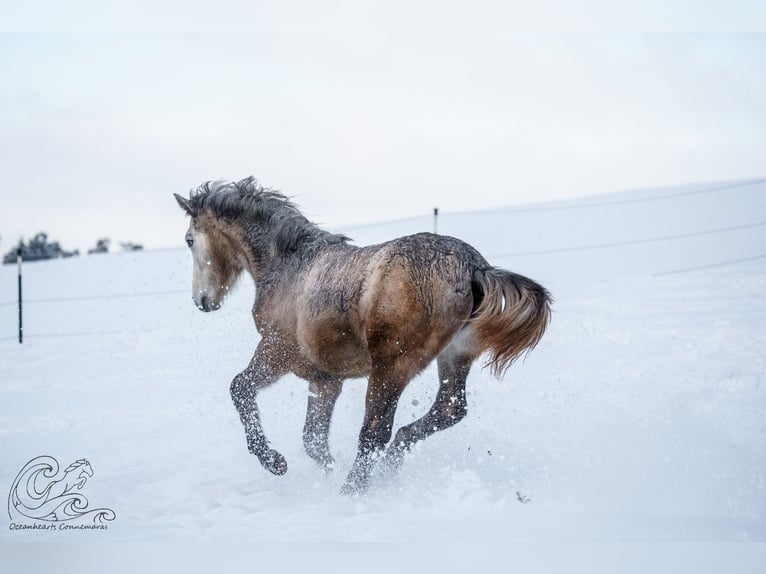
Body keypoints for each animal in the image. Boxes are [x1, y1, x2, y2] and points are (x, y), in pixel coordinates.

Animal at [174, 177, 552, 494]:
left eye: (190, 241)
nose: (202, 301)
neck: (289, 267)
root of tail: (474, 268)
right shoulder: (325, 379)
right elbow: (313, 440)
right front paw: (326, 469)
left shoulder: (275, 353)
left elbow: (240, 389)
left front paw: (274, 462)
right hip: (455, 356)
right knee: (447, 410)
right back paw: (389, 464)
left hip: (391, 368)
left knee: (375, 432)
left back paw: (353, 490)